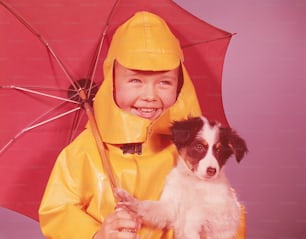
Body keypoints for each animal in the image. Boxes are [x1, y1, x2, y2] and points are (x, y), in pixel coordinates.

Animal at [116, 116, 247, 239]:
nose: (212, 171)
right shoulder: (169, 207)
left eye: (219, 150)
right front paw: (130, 200)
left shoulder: (224, 212)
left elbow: (196, 212)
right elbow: (148, 206)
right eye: (199, 147)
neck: (193, 181)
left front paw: (188, 228)